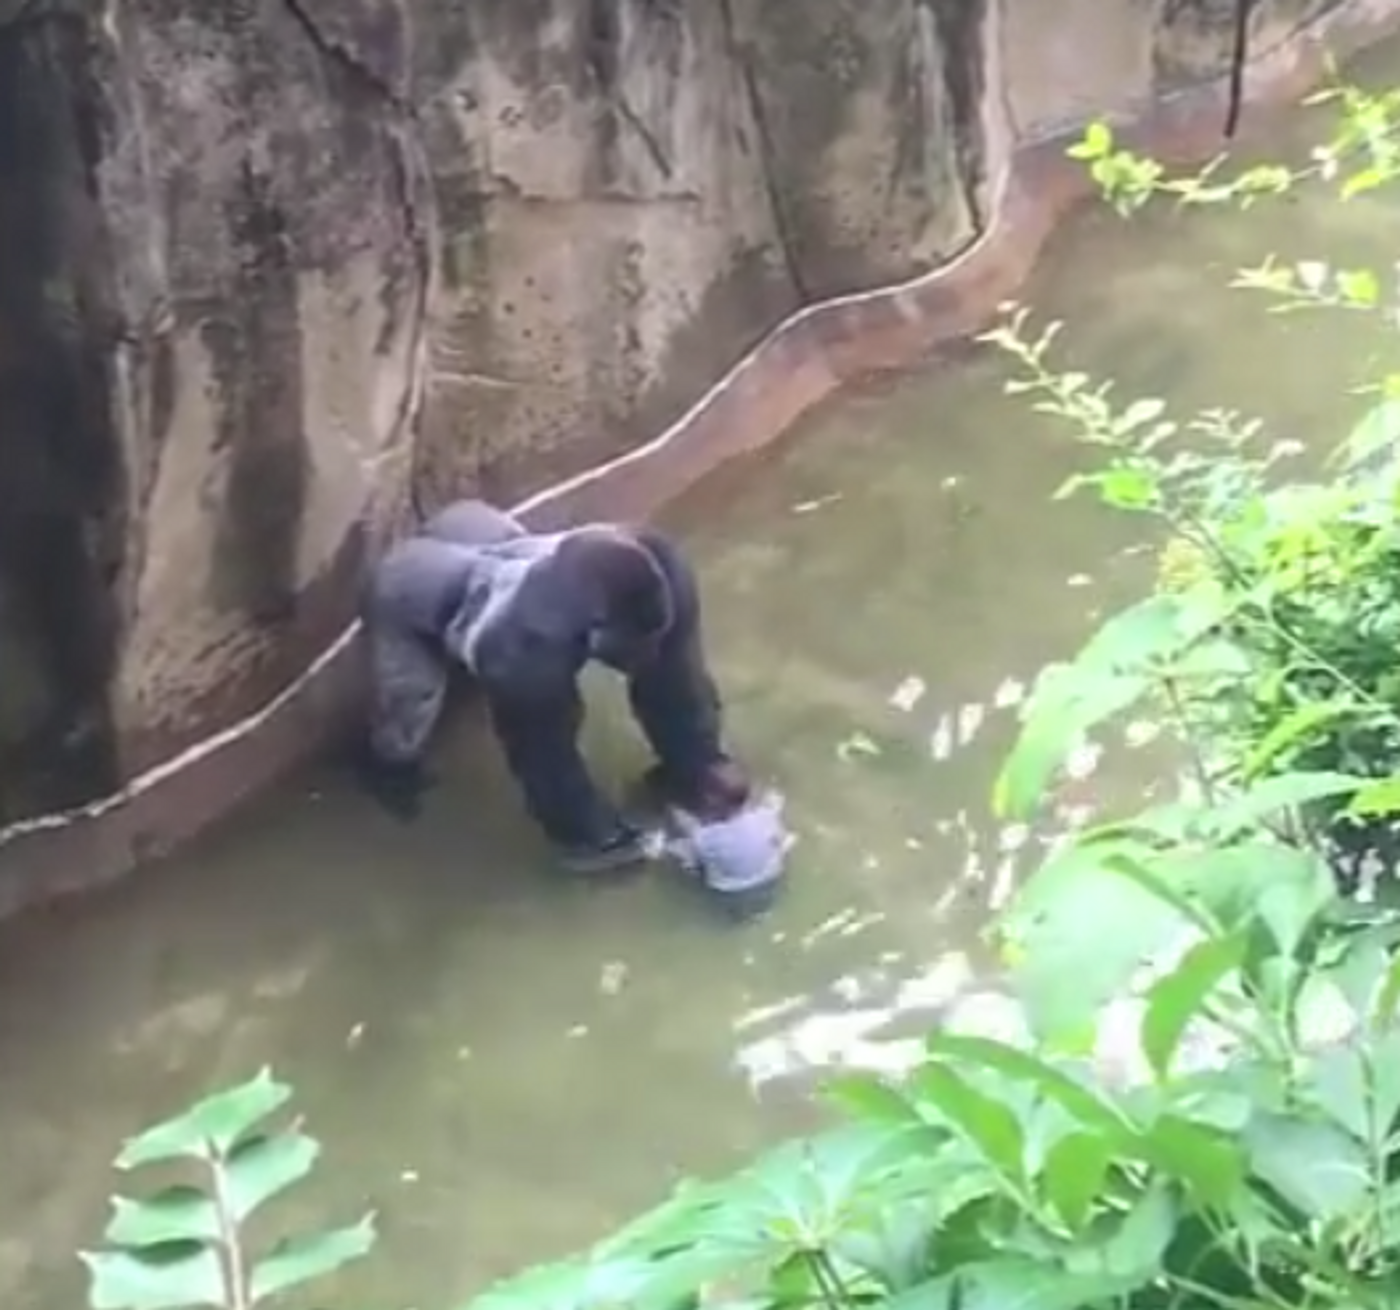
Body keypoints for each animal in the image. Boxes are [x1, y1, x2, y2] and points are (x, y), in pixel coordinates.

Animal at [361, 495, 756, 873]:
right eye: (641, 641)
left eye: (657, 636)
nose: (650, 653)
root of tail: (413, 537)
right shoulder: (525, 654)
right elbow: (546, 748)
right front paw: (604, 842)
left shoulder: (668, 568)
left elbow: (672, 684)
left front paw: (705, 776)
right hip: (394, 591)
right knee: (412, 708)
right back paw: (390, 774)